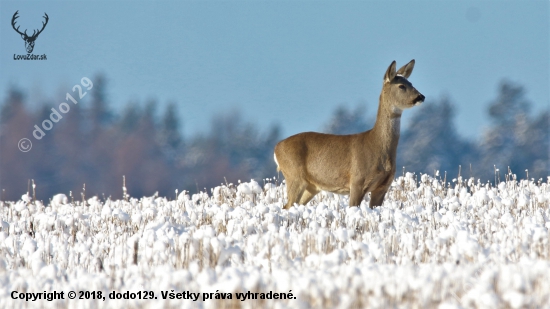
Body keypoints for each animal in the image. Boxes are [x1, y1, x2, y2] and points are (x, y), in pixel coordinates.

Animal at [276, 59, 426, 209]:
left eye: (411, 83)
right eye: (401, 86)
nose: (421, 96)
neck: (377, 144)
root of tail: (276, 148)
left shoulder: (383, 187)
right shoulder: (357, 181)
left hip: (311, 186)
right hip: (294, 175)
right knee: (287, 206)